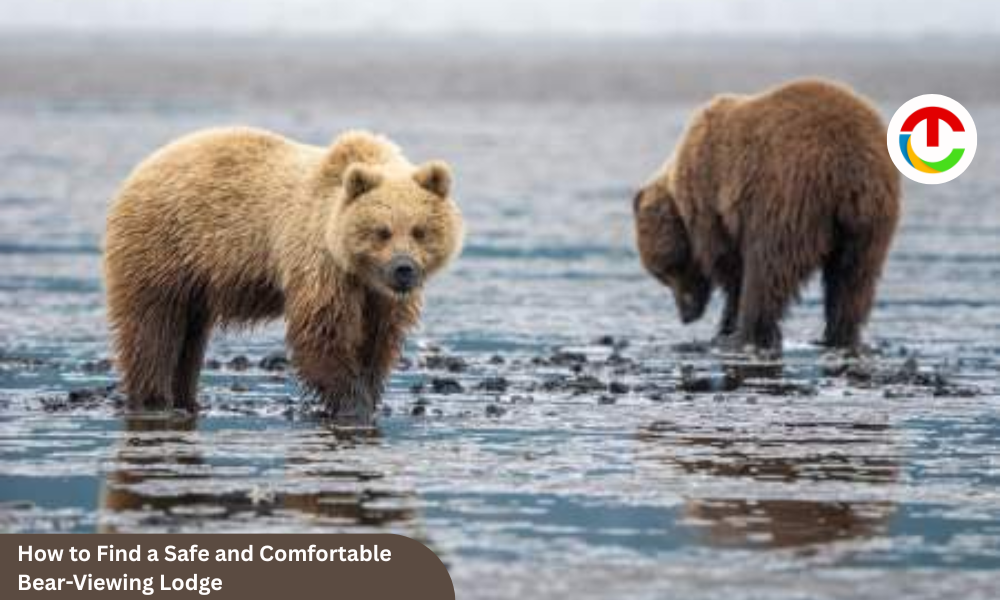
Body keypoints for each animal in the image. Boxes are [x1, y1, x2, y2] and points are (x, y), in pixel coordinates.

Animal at [104, 128, 463, 419]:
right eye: (382, 232)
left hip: (194, 279)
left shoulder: (379, 297)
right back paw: (153, 400)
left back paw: (186, 398)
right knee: (153, 330)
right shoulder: (321, 263)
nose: (403, 269)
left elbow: (377, 341)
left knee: (189, 337)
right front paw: (353, 404)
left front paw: (370, 393)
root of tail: (144, 165)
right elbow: (322, 334)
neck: (359, 271)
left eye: (419, 231)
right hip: (163, 249)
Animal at [634, 78, 900, 352]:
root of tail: (847, 166)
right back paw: (838, 336)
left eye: (665, 271)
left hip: (787, 196)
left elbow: (729, 265)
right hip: (870, 220)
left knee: (767, 268)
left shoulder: (711, 202)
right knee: (853, 279)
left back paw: (745, 335)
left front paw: (725, 325)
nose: (685, 315)